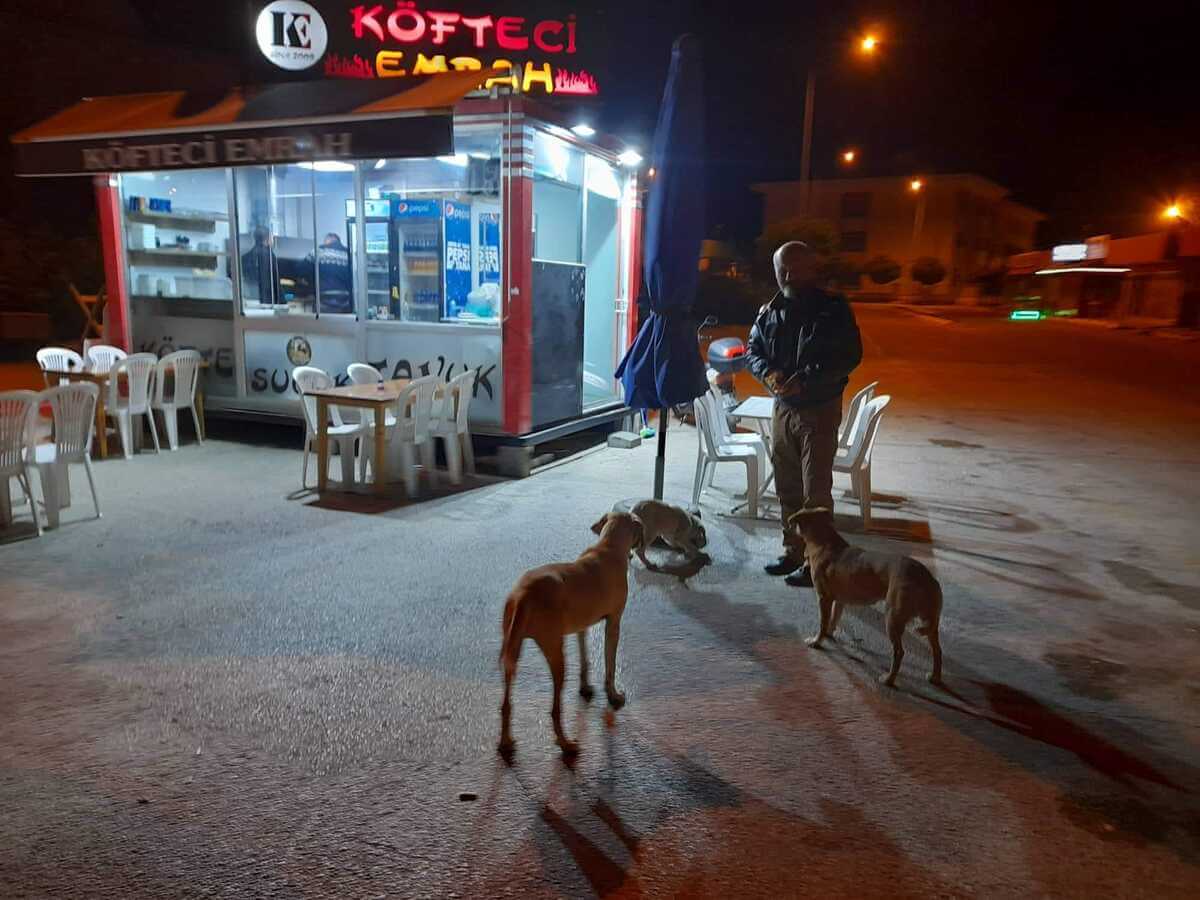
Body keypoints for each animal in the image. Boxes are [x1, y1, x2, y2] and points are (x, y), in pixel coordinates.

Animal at [499, 511, 648, 758]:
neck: (608, 546)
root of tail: (523, 595)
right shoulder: (613, 623)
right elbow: (610, 664)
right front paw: (613, 695)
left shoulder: (581, 626)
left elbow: (585, 658)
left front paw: (585, 687)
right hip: (555, 654)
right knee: (554, 710)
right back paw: (566, 744)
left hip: (512, 651)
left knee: (505, 705)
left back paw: (505, 742)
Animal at [787, 508, 945, 691]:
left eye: (792, 524)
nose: (785, 529)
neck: (824, 542)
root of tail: (924, 577)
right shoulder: (839, 601)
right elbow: (833, 620)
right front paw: (829, 635)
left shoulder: (823, 598)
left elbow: (822, 623)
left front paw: (817, 641)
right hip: (930, 622)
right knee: (937, 651)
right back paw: (935, 677)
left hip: (892, 618)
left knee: (899, 652)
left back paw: (889, 680)